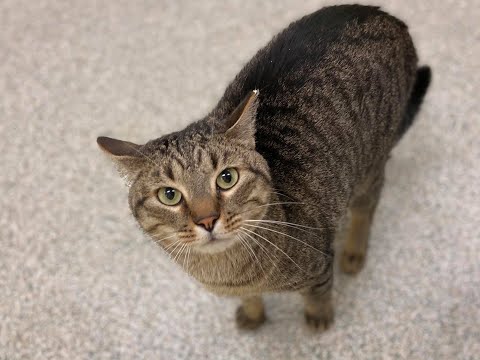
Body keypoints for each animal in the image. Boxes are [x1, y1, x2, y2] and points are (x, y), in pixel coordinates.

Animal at [95, 4, 430, 332]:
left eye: (227, 178)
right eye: (169, 195)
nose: (207, 220)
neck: (230, 274)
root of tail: (388, 17)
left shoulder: (319, 266)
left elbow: (318, 295)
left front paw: (318, 318)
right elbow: (251, 300)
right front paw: (253, 315)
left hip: (370, 166)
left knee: (366, 209)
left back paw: (354, 252)